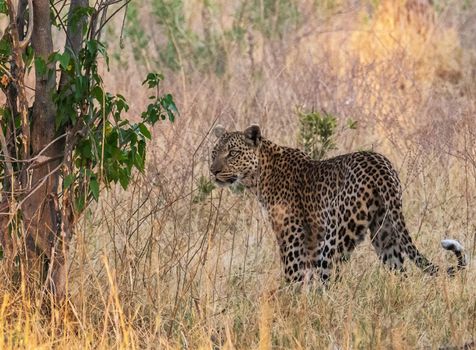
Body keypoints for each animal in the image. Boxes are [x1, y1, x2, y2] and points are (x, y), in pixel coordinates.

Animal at [210, 124, 466, 284]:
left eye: (232, 153)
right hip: (386, 233)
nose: (213, 171)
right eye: (214, 152)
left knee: (329, 281)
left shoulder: (292, 239)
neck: (259, 176)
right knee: (400, 273)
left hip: (336, 238)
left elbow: (293, 278)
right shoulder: (311, 241)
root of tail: (381, 165)